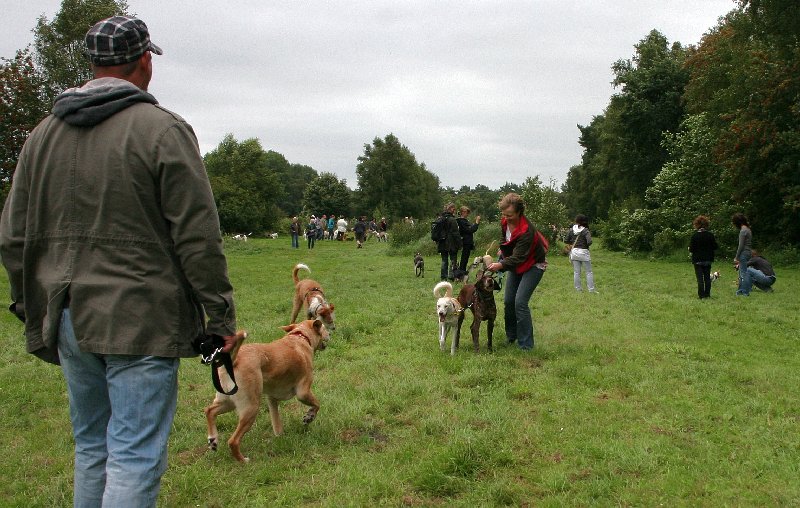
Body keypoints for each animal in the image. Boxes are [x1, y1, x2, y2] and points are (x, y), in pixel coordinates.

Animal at [204, 319, 330, 462]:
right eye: (324, 328)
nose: (330, 333)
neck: (300, 337)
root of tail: (233, 361)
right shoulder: (303, 392)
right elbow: (316, 404)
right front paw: (309, 416)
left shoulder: (271, 399)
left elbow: (276, 422)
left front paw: (280, 437)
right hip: (251, 407)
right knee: (233, 441)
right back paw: (243, 460)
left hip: (227, 401)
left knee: (209, 411)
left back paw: (213, 439)